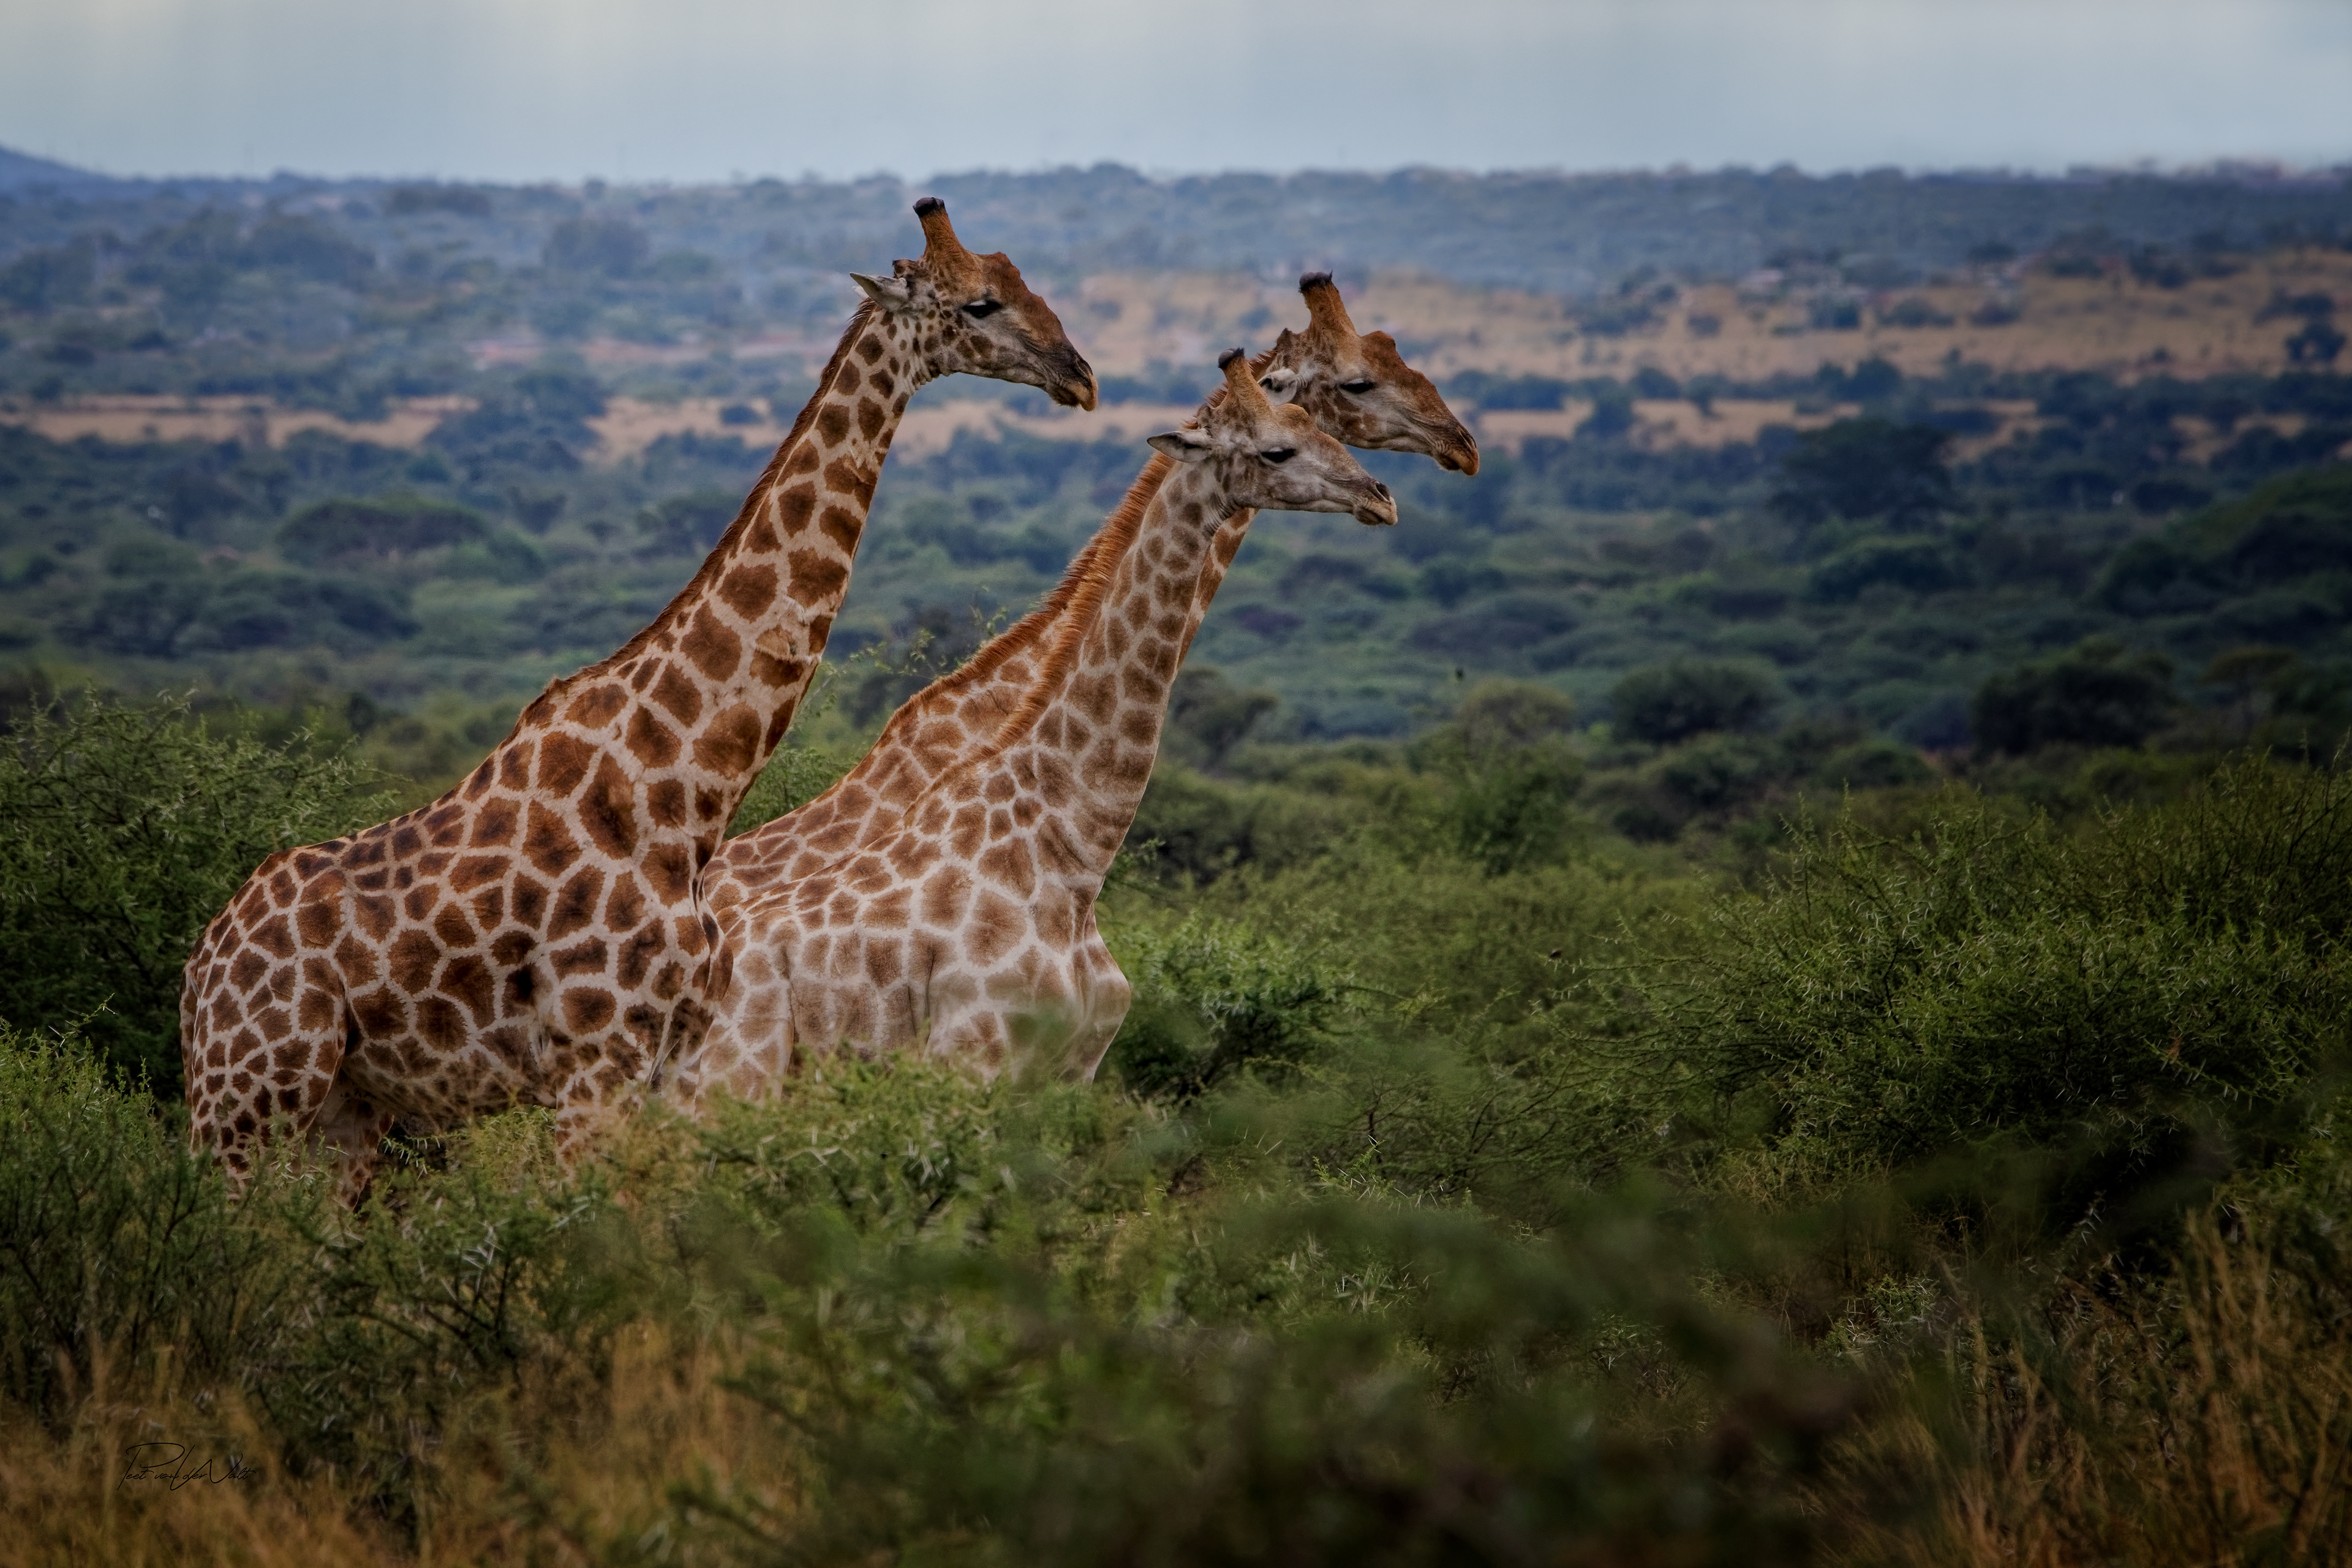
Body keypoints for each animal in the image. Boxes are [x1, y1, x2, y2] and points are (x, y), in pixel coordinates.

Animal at [179, 200, 1096, 1196]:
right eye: (979, 304)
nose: (1081, 376)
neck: (680, 791)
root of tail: (197, 974)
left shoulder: (669, 1055)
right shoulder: (596, 1057)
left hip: (343, 1111)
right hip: (248, 1099)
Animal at [670, 349, 1397, 1103]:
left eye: (1315, 422)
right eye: (1277, 449)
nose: (1380, 496)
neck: (1071, 851)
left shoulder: (1074, 1068)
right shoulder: (971, 1053)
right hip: (734, 1079)